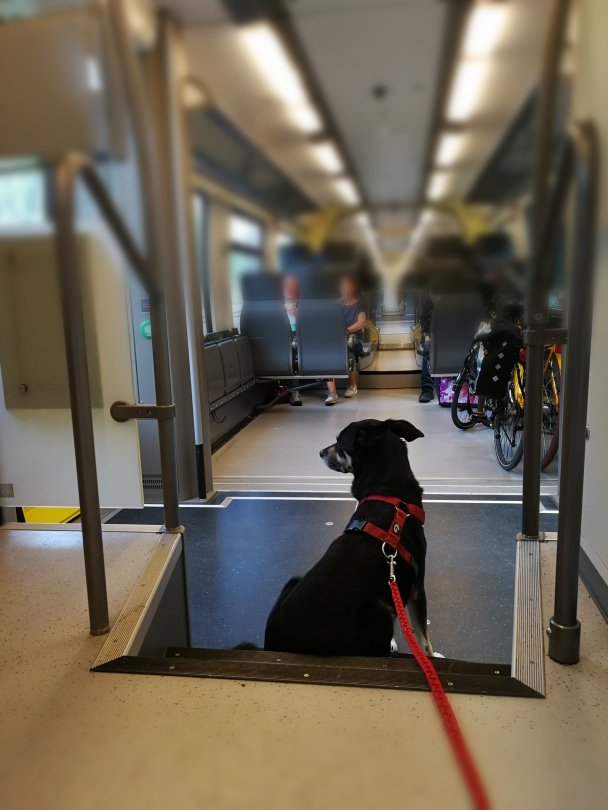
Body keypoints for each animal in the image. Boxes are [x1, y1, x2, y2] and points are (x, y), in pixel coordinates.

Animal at [264, 419, 433, 658]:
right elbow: (425, 643)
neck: (386, 488)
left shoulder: (411, 589)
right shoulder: (416, 588)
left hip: (293, 581)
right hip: (378, 611)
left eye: (340, 443)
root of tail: (275, 645)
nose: (320, 452)